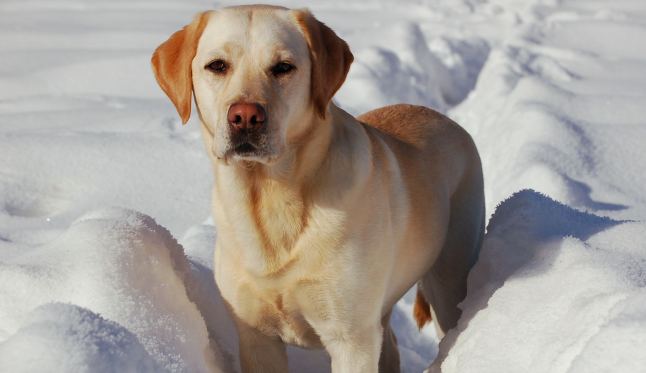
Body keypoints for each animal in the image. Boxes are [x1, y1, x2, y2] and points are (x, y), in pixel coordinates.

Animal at [153, 4, 486, 370]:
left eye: (283, 67)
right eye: (217, 66)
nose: (245, 117)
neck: (270, 196)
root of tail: (449, 121)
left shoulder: (351, 340)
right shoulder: (256, 336)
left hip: (449, 281)